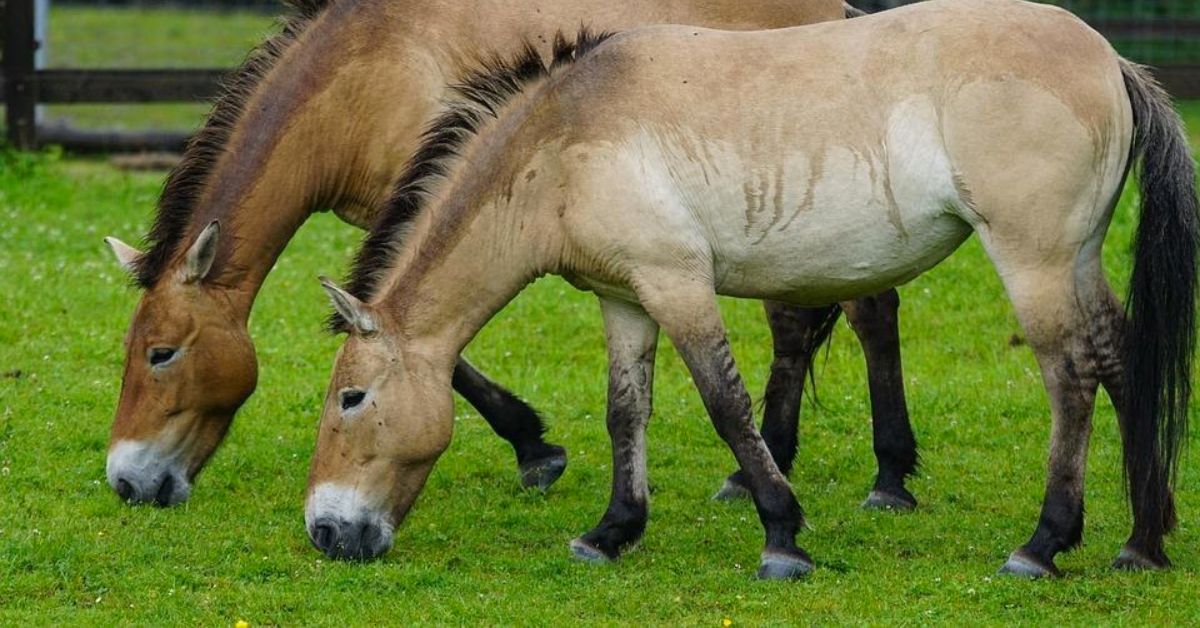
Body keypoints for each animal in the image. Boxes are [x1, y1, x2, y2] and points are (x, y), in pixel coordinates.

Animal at [103, 0, 921, 511]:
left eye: (161, 354)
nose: (127, 483)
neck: (370, 68)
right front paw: (534, 444)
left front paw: (534, 447)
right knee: (805, 327)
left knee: (865, 313)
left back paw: (885, 476)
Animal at [312, 0, 1200, 581]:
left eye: (352, 399)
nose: (325, 531)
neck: (566, 139)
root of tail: (1111, 59)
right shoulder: (624, 299)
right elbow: (625, 411)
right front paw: (611, 531)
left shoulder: (678, 287)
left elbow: (726, 406)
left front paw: (782, 535)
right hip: (1076, 260)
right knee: (1121, 360)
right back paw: (1141, 542)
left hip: (1034, 262)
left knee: (1072, 378)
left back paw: (1044, 544)